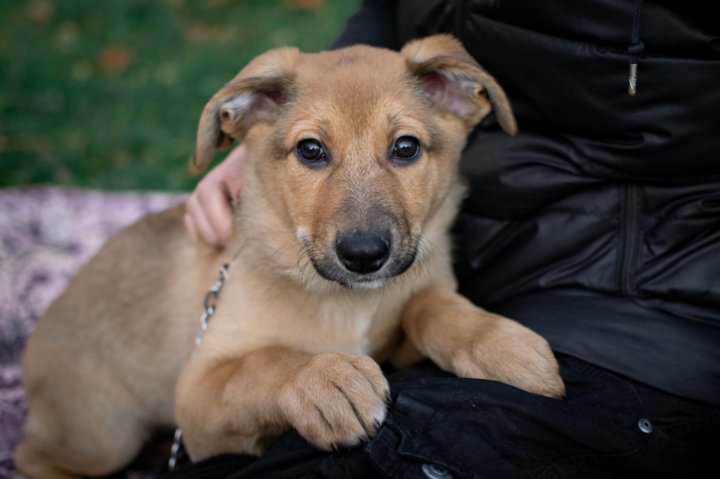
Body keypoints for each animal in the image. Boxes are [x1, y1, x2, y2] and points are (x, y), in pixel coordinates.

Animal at [11, 34, 564, 479]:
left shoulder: (403, 325)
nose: (364, 255)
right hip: (104, 434)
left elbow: (426, 304)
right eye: (311, 150)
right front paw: (323, 380)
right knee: (32, 456)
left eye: (406, 147)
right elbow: (262, 363)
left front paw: (499, 344)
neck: (348, 302)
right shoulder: (198, 393)